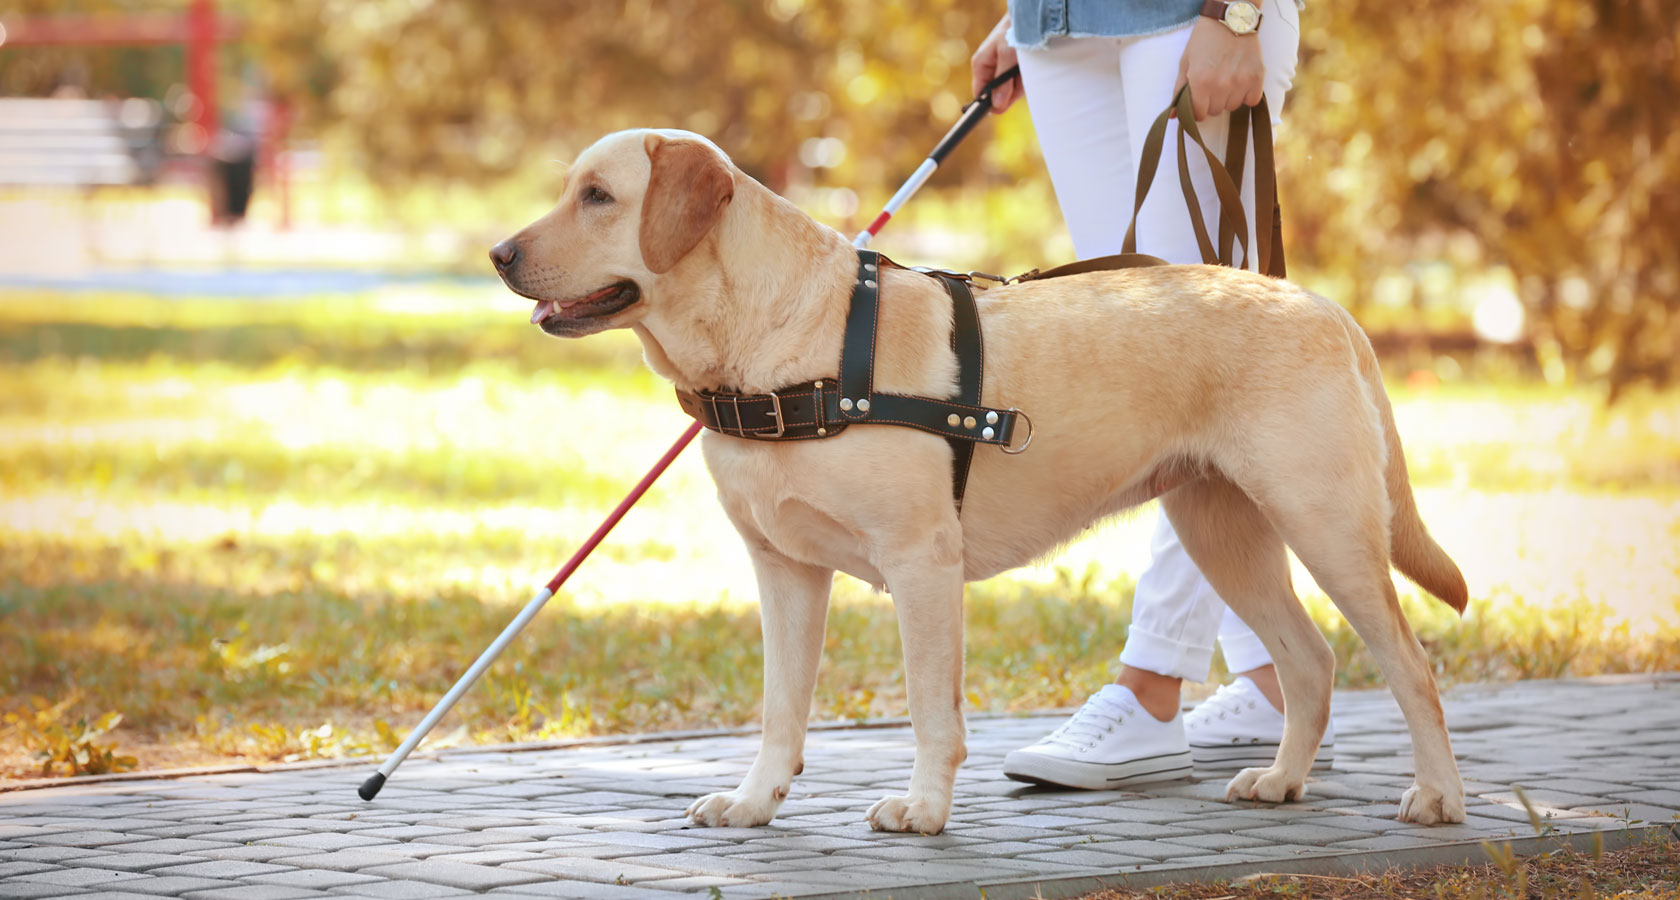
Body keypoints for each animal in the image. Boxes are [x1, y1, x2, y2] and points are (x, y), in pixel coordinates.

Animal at [490, 128, 1471, 836]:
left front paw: (924, 810)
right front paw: (757, 800)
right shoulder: (785, 569)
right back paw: (1281, 780)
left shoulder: (921, 564)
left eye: (599, 197)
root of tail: (1325, 305)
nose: (499, 253)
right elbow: (780, 711)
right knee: (1310, 662)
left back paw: (1438, 798)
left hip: (1326, 525)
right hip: (1222, 531)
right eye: (570, 188)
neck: (778, 346)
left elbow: (932, 710)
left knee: (1412, 666)